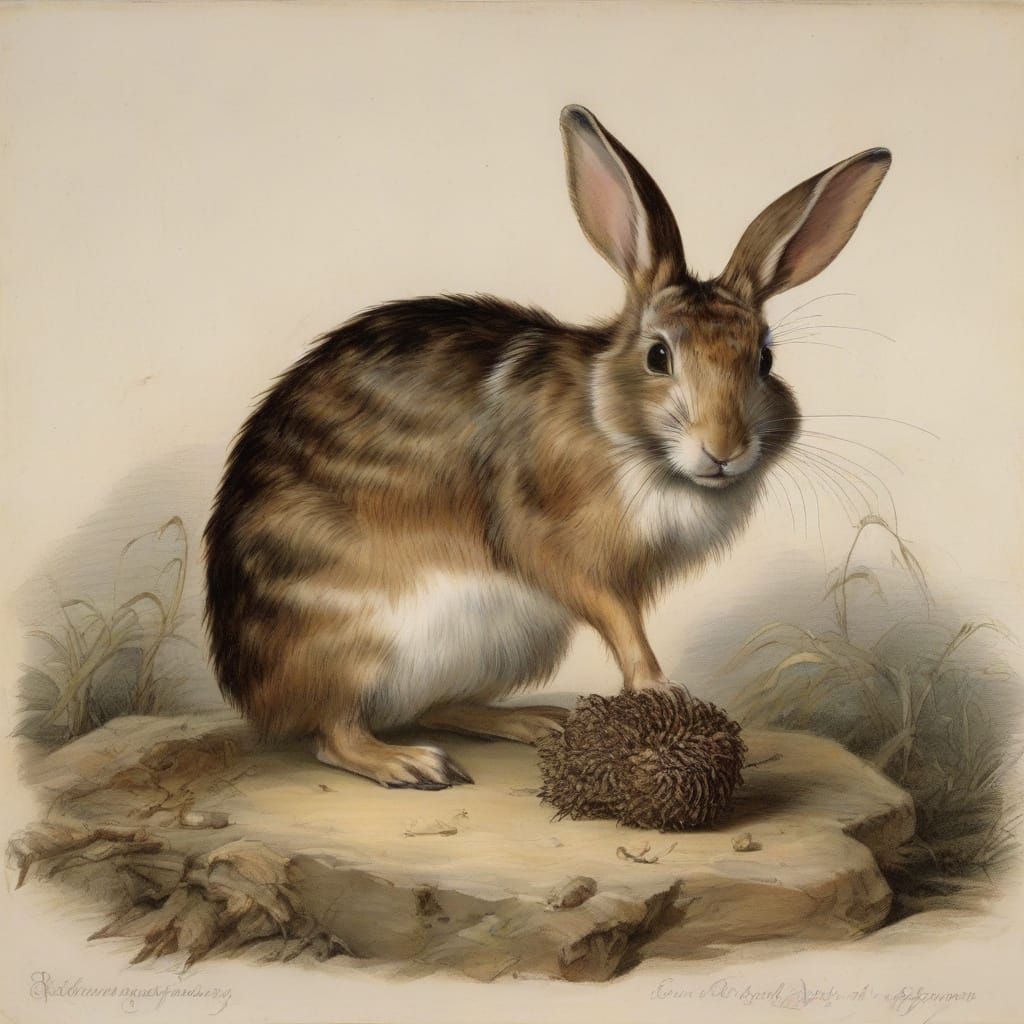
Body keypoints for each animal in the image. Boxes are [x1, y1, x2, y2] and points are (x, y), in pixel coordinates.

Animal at [204, 105, 891, 789]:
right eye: (658, 356)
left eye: (765, 361)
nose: (723, 450)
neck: (619, 432)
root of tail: (255, 696)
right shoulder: (556, 544)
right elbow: (617, 619)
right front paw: (658, 687)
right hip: (354, 640)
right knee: (335, 731)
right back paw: (410, 763)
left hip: (503, 644)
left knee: (436, 706)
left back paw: (531, 722)